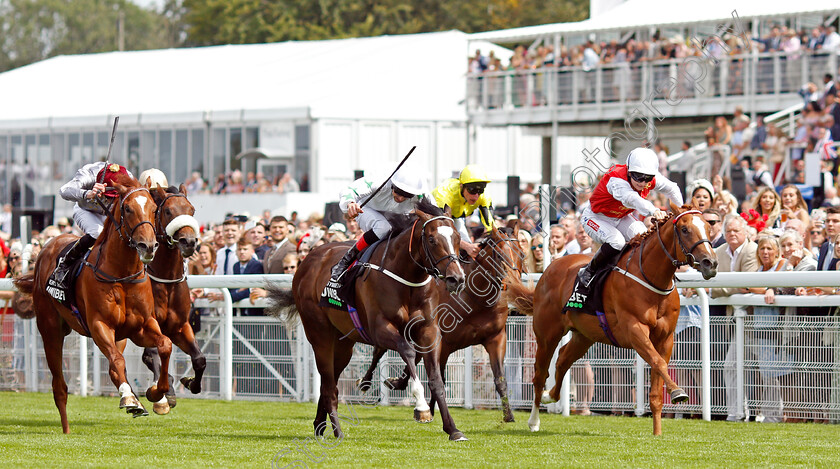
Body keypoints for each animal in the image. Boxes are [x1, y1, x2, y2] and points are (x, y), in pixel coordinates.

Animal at [14, 178, 167, 432]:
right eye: (128, 208)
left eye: (154, 209)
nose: (148, 245)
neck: (121, 274)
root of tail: (49, 245)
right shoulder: (99, 325)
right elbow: (117, 360)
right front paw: (129, 398)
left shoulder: (140, 326)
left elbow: (164, 345)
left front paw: (157, 394)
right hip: (50, 330)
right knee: (59, 386)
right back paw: (67, 429)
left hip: (120, 337)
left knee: (114, 368)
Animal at [266, 200, 470, 438]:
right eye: (431, 239)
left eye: (457, 237)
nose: (456, 278)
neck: (406, 278)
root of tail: (306, 263)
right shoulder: (380, 329)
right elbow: (408, 351)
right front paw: (421, 407)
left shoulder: (428, 329)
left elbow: (436, 379)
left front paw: (453, 429)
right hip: (319, 335)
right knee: (329, 386)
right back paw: (337, 431)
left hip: (343, 343)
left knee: (329, 382)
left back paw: (320, 424)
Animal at [354, 221, 524, 422]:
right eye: (499, 254)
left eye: (521, 254)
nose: (514, 285)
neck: (476, 299)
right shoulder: (444, 343)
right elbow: (437, 375)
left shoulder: (495, 338)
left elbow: (500, 379)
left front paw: (509, 415)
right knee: (379, 352)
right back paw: (366, 382)